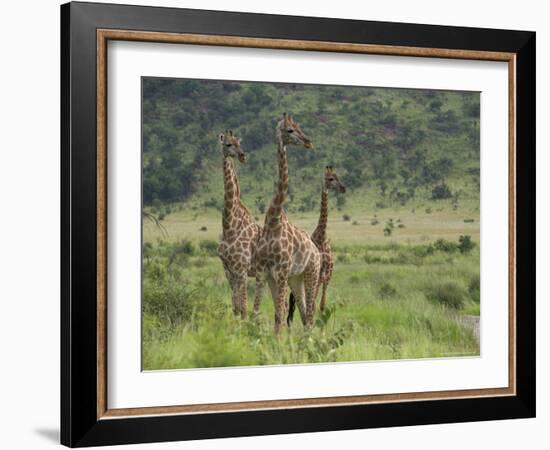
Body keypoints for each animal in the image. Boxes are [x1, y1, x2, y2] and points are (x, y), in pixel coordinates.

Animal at [252, 114, 322, 336]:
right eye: (290, 130)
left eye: (298, 126)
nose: (308, 141)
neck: (273, 219)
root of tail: (317, 253)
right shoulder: (264, 273)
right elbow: (260, 311)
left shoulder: (281, 272)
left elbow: (280, 314)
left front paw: (278, 341)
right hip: (296, 279)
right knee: (303, 312)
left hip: (311, 273)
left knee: (311, 312)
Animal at [286, 165, 348, 324]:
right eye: (330, 179)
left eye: (338, 176)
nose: (343, 188)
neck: (322, 236)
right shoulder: (318, 276)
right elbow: (312, 306)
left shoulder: (326, 276)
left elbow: (321, 306)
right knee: (295, 304)